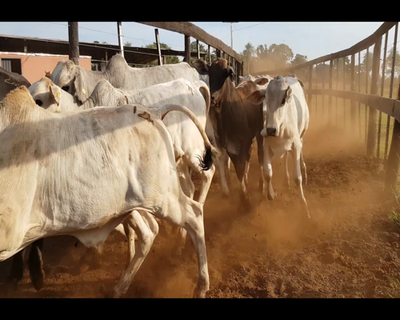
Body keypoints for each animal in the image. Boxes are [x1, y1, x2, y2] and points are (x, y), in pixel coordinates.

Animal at [0, 85, 214, 298]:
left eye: (40, 100)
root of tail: (153, 113)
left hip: (164, 196)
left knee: (194, 214)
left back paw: (200, 284)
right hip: (139, 204)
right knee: (152, 230)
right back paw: (120, 287)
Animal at [245, 75, 310, 220]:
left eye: (283, 100)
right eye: (266, 99)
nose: (270, 130)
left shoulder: (295, 145)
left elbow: (297, 178)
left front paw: (304, 207)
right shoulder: (266, 146)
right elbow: (268, 173)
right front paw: (271, 194)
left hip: (302, 135)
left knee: (301, 152)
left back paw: (304, 170)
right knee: (285, 157)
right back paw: (286, 179)